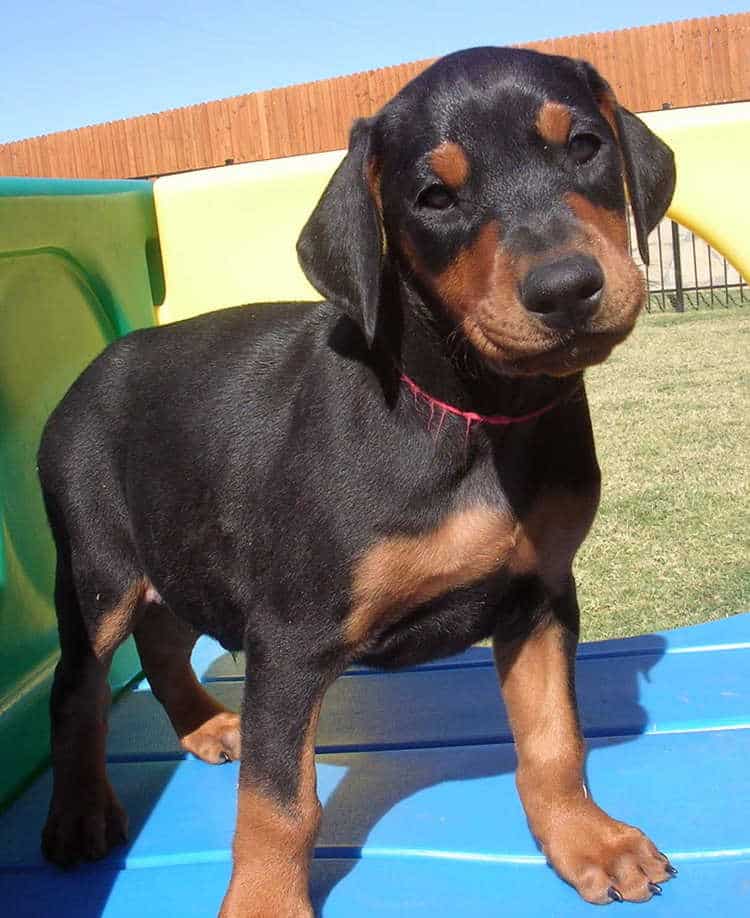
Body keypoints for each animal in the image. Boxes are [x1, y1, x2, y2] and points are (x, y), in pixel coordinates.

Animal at [38, 46, 680, 916]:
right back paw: (76, 813)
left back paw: (206, 725)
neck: (469, 410)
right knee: (78, 688)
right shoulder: (291, 636)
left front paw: (586, 838)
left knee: (164, 636)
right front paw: (265, 904)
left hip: (173, 541)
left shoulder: (541, 593)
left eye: (584, 146)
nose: (565, 289)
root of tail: (89, 372)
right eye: (434, 197)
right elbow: (280, 804)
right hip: (98, 567)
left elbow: (554, 738)